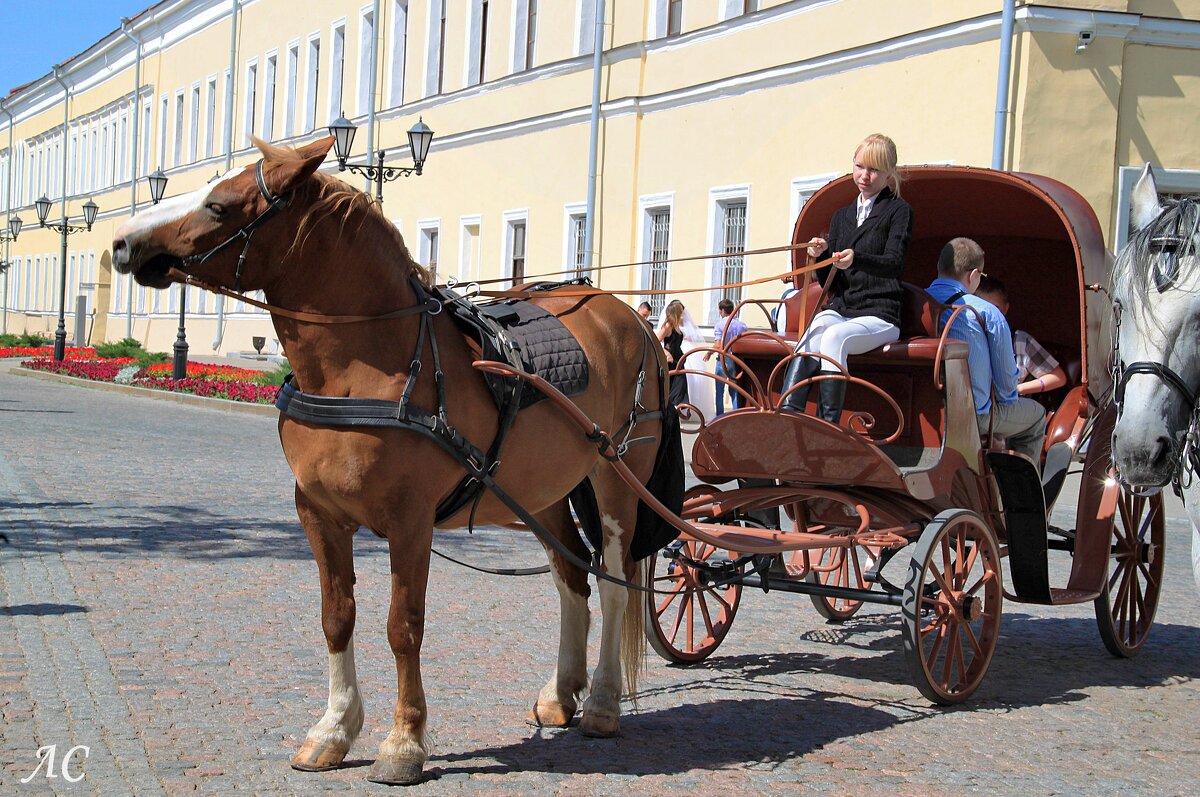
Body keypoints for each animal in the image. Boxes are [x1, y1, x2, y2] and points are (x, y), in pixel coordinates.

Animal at [111, 136, 667, 782]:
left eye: (219, 205)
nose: (121, 242)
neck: (371, 365)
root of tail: (627, 317)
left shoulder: (410, 522)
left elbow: (403, 627)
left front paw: (404, 742)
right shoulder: (318, 515)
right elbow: (337, 615)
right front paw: (333, 728)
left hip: (615, 483)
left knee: (614, 583)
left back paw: (602, 702)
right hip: (542, 493)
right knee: (572, 576)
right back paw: (560, 693)